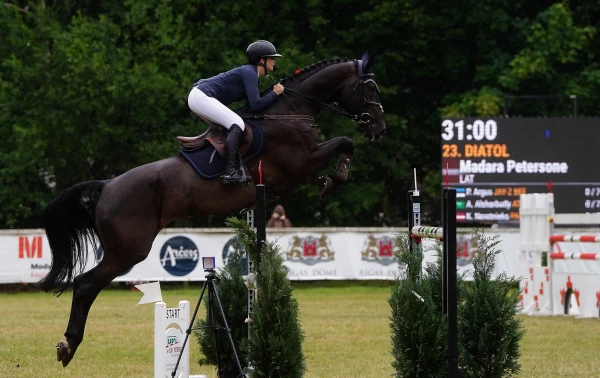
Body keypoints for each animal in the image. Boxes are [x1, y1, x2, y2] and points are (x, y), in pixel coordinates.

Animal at [38, 52, 384, 366]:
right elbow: (345, 141)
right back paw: (68, 345)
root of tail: (108, 185)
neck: (289, 113)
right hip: (128, 250)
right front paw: (333, 179)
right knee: (85, 284)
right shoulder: (302, 163)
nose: (379, 129)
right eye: (369, 87)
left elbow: (344, 143)